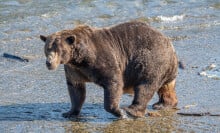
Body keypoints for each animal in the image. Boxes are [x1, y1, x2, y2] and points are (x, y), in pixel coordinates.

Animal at [40, 21, 179, 118]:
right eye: (47, 48)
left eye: (58, 49)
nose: (49, 63)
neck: (79, 59)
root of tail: (169, 42)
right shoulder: (74, 70)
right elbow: (76, 89)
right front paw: (69, 112)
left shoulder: (101, 59)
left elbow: (113, 82)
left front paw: (119, 112)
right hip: (165, 67)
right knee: (166, 87)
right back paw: (163, 104)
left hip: (151, 59)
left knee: (145, 85)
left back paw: (132, 110)